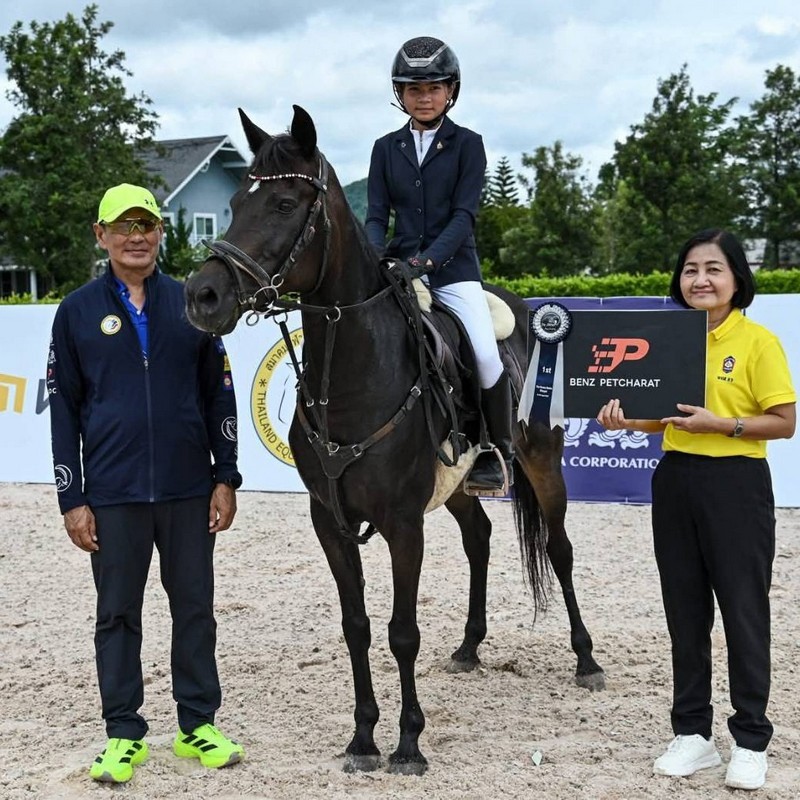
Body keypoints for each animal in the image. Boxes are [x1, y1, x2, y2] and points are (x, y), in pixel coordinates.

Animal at [185, 105, 604, 775]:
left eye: (283, 203)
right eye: (233, 202)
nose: (202, 296)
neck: (354, 376)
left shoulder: (403, 523)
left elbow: (401, 631)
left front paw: (408, 744)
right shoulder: (330, 522)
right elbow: (357, 625)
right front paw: (362, 737)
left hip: (542, 463)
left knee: (558, 550)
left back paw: (586, 659)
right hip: (456, 485)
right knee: (480, 538)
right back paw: (469, 647)